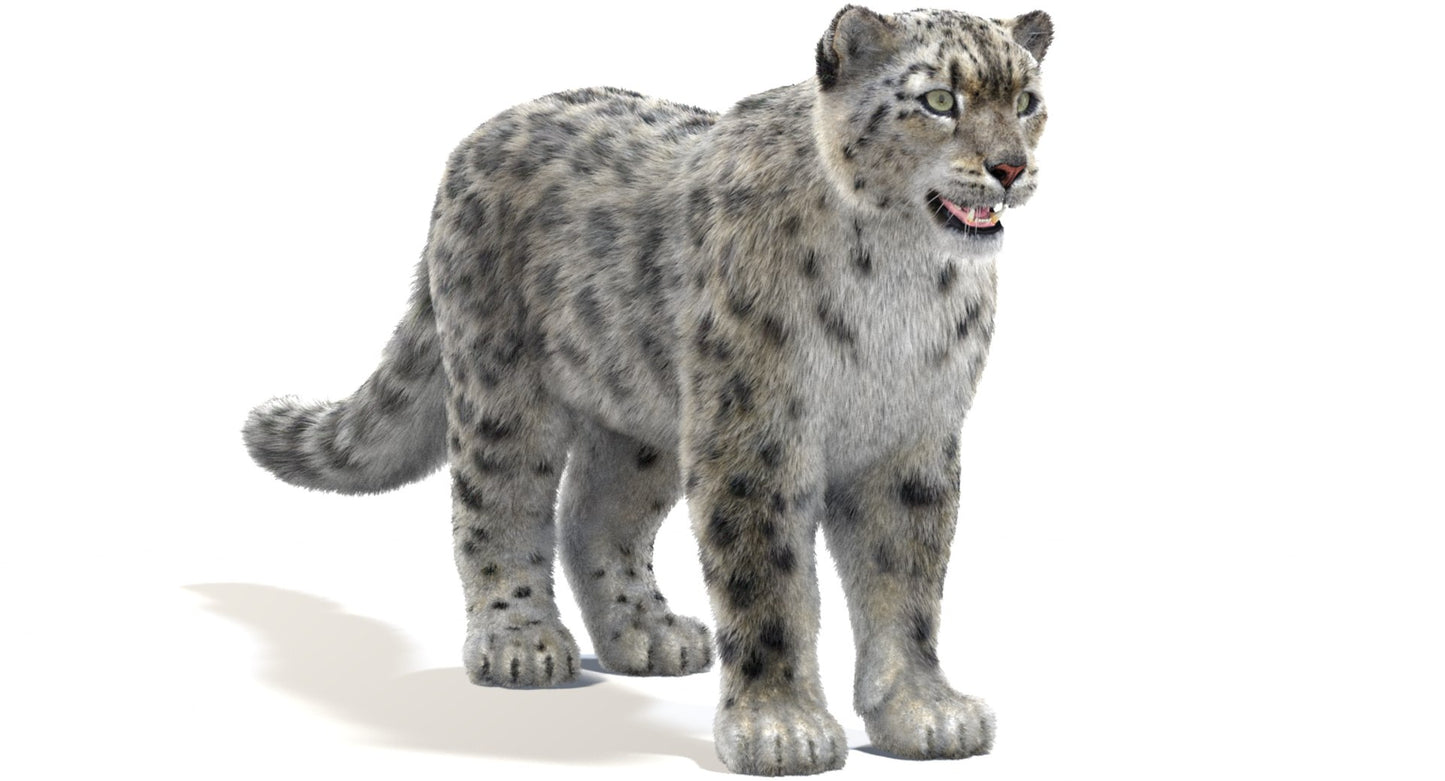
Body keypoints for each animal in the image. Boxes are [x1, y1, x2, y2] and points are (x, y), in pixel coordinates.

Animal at [243, 5, 1052, 775]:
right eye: (939, 99)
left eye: (1027, 99)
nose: (1010, 167)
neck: (904, 282)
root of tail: (479, 136)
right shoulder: (756, 432)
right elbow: (768, 581)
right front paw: (780, 728)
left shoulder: (912, 440)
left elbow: (907, 582)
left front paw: (924, 712)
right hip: (503, 385)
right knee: (497, 504)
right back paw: (520, 640)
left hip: (646, 416)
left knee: (593, 514)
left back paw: (649, 633)